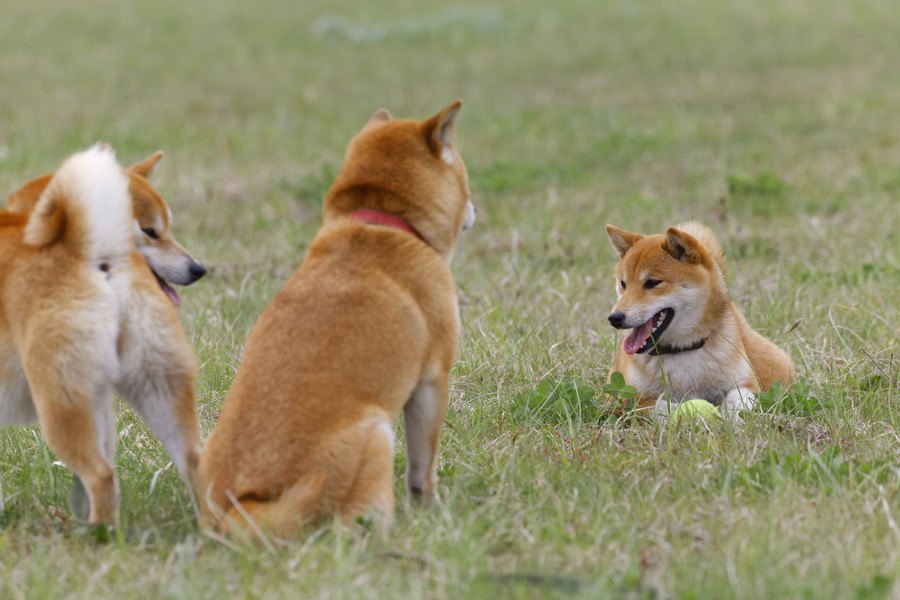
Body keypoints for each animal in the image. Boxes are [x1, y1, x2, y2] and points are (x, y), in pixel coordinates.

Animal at [1, 146, 202, 524]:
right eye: (151, 231)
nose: (199, 269)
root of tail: (91, 249)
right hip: (156, 387)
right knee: (195, 463)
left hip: (59, 403)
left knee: (100, 475)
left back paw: (97, 533)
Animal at [200, 101, 474, 536]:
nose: (474, 209)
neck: (380, 222)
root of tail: (241, 504)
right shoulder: (432, 380)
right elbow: (423, 466)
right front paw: (430, 507)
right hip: (377, 434)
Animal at [608, 219, 792, 418]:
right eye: (623, 284)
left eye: (652, 283)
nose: (614, 318)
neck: (682, 350)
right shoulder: (626, 397)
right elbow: (664, 406)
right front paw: (696, 416)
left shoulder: (745, 383)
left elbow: (736, 400)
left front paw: (732, 420)